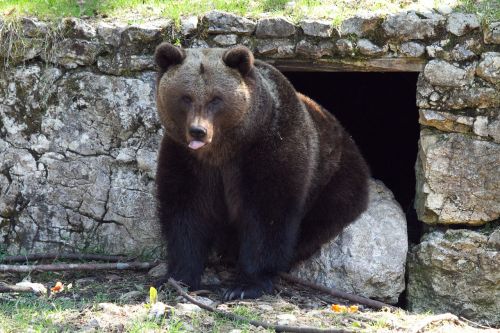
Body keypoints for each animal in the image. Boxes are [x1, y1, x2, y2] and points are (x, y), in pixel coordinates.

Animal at [154, 41, 370, 298]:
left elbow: (267, 214)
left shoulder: (270, 148)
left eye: (216, 98)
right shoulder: (187, 159)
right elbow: (186, 211)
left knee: (324, 216)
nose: (198, 131)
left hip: (335, 175)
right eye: (185, 97)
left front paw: (245, 285)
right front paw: (178, 277)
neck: (225, 150)